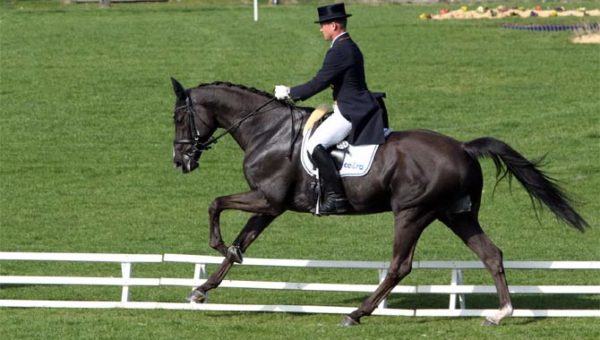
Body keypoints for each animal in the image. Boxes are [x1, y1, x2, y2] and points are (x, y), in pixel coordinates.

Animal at [169, 78, 584, 326]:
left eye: (178, 117)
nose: (180, 161)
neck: (268, 131)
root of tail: (463, 147)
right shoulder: (270, 206)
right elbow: (242, 241)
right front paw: (202, 289)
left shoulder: (267, 200)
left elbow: (215, 204)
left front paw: (218, 247)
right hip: (457, 214)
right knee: (491, 254)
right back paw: (501, 313)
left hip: (413, 213)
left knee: (400, 266)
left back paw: (357, 313)